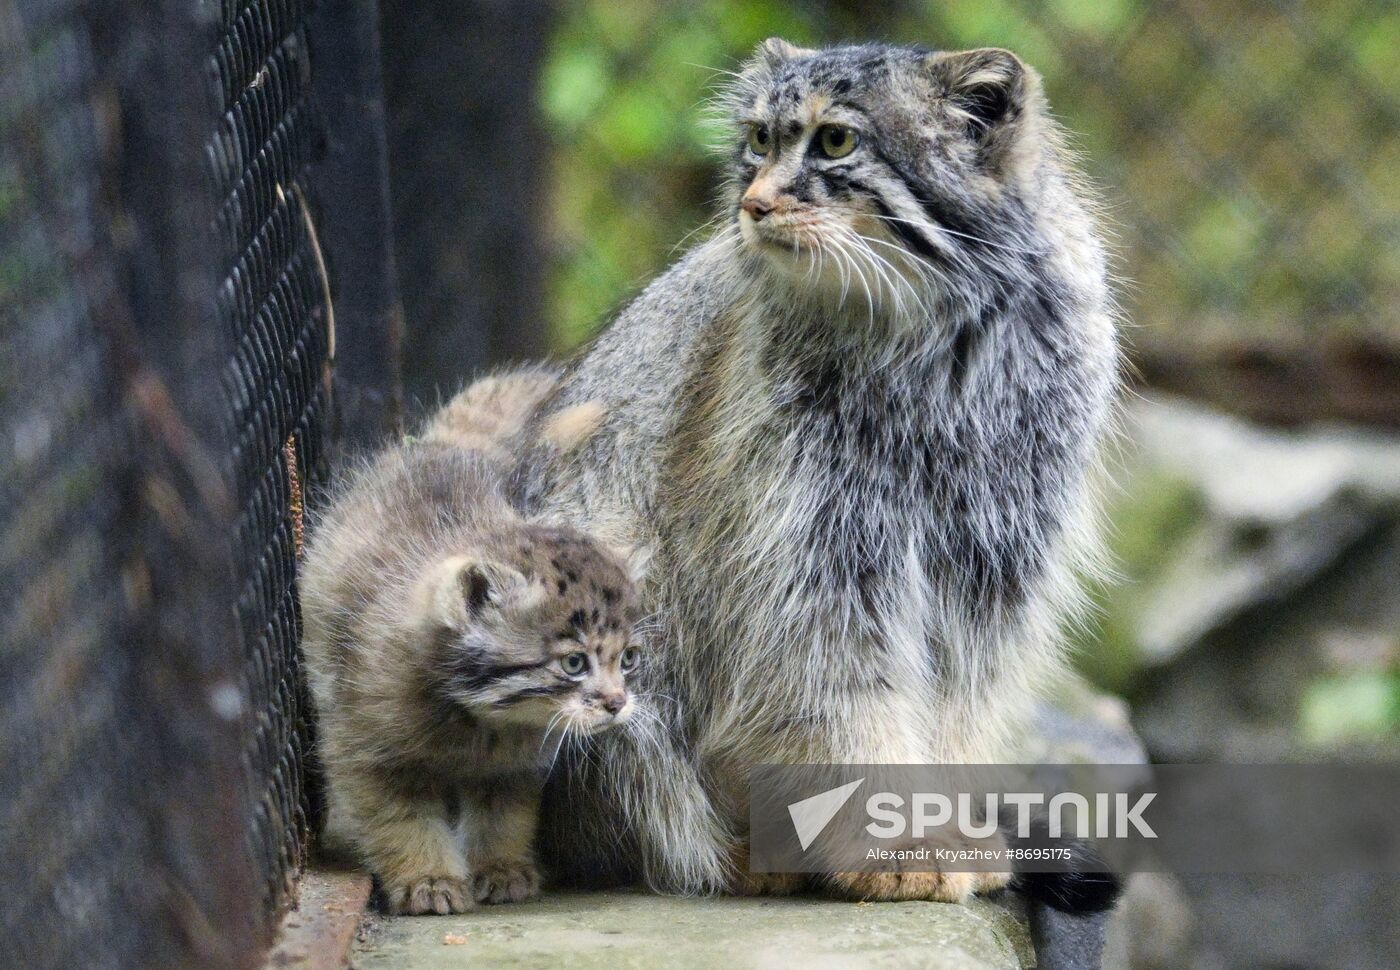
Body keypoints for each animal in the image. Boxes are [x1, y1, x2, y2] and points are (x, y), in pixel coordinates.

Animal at [303, 433, 641, 912]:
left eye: (628, 658)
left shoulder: (511, 768)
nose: (617, 703)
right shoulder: (369, 754)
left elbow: (502, 818)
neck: (479, 720)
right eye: (574, 663)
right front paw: (428, 880)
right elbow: (403, 822)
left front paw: (500, 869)